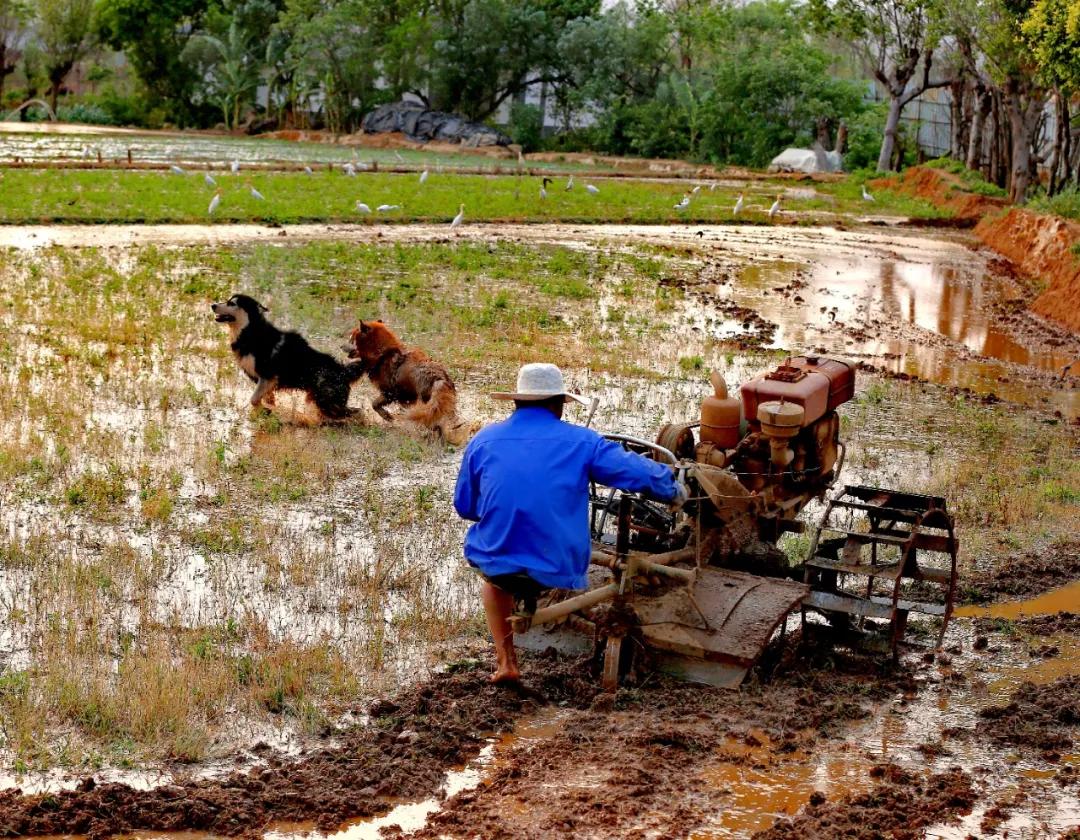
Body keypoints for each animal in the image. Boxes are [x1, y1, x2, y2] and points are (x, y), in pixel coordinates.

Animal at [209, 293, 362, 423]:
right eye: (227, 300)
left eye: (232, 303)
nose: (213, 305)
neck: (251, 332)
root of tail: (343, 372)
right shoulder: (265, 382)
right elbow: (266, 399)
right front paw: (266, 412)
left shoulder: (268, 376)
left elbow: (253, 399)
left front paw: (264, 410)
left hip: (325, 397)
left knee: (349, 412)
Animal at [345, 319, 473, 444]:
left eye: (351, 338)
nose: (342, 346)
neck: (383, 353)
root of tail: (439, 378)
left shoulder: (389, 393)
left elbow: (375, 404)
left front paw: (387, 416)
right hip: (441, 405)